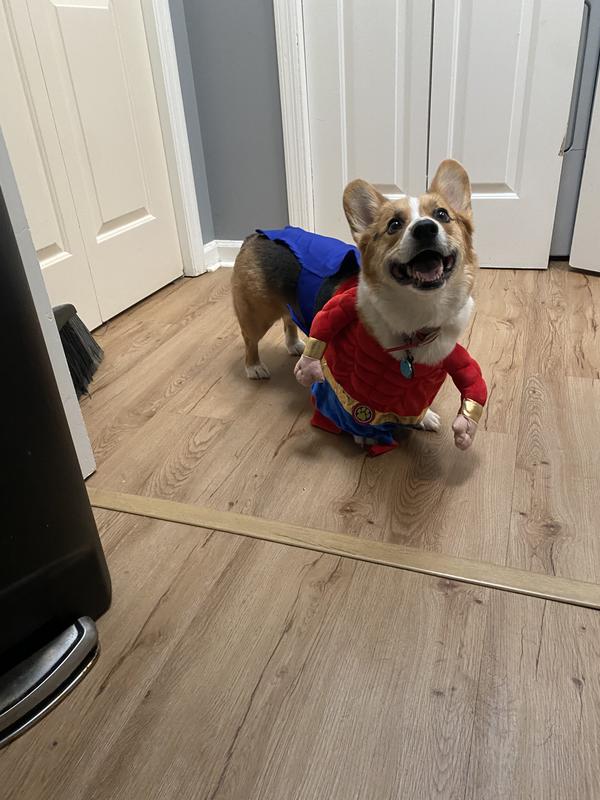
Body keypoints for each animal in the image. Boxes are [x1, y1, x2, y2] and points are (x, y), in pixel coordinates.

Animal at [232, 159, 486, 453]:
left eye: (442, 215)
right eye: (394, 224)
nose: (425, 228)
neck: (419, 315)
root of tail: (255, 235)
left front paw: (425, 417)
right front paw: (366, 435)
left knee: (288, 319)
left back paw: (295, 345)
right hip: (257, 314)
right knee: (250, 339)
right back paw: (254, 367)